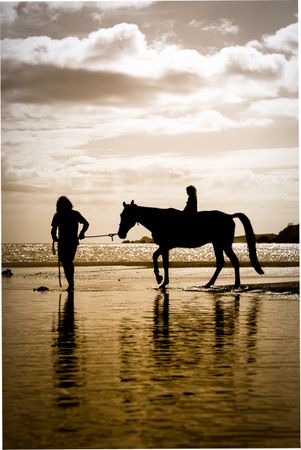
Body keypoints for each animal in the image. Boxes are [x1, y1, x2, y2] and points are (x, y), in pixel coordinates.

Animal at [117, 200, 262, 288]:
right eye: (121, 215)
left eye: (126, 215)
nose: (120, 234)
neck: (159, 219)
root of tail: (229, 216)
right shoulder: (165, 247)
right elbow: (161, 260)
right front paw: (162, 281)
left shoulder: (165, 246)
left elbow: (159, 259)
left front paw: (160, 279)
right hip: (217, 244)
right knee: (221, 262)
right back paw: (209, 284)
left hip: (224, 244)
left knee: (234, 261)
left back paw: (236, 285)